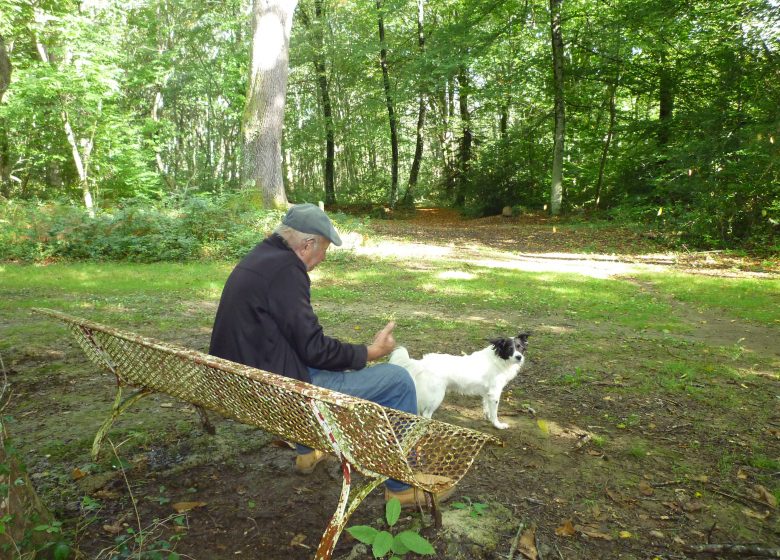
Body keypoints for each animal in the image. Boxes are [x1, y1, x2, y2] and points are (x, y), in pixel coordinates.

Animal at [390, 332, 532, 428]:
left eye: (520, 347)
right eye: (509, 349)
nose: (519, 357)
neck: (497, 359)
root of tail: (422, 363)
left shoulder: (487, 392)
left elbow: (486, 406)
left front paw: (487, 417)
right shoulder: (495, 392)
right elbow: (495, 412)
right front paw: (497, 424)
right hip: (436, 396)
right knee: (426, 414)